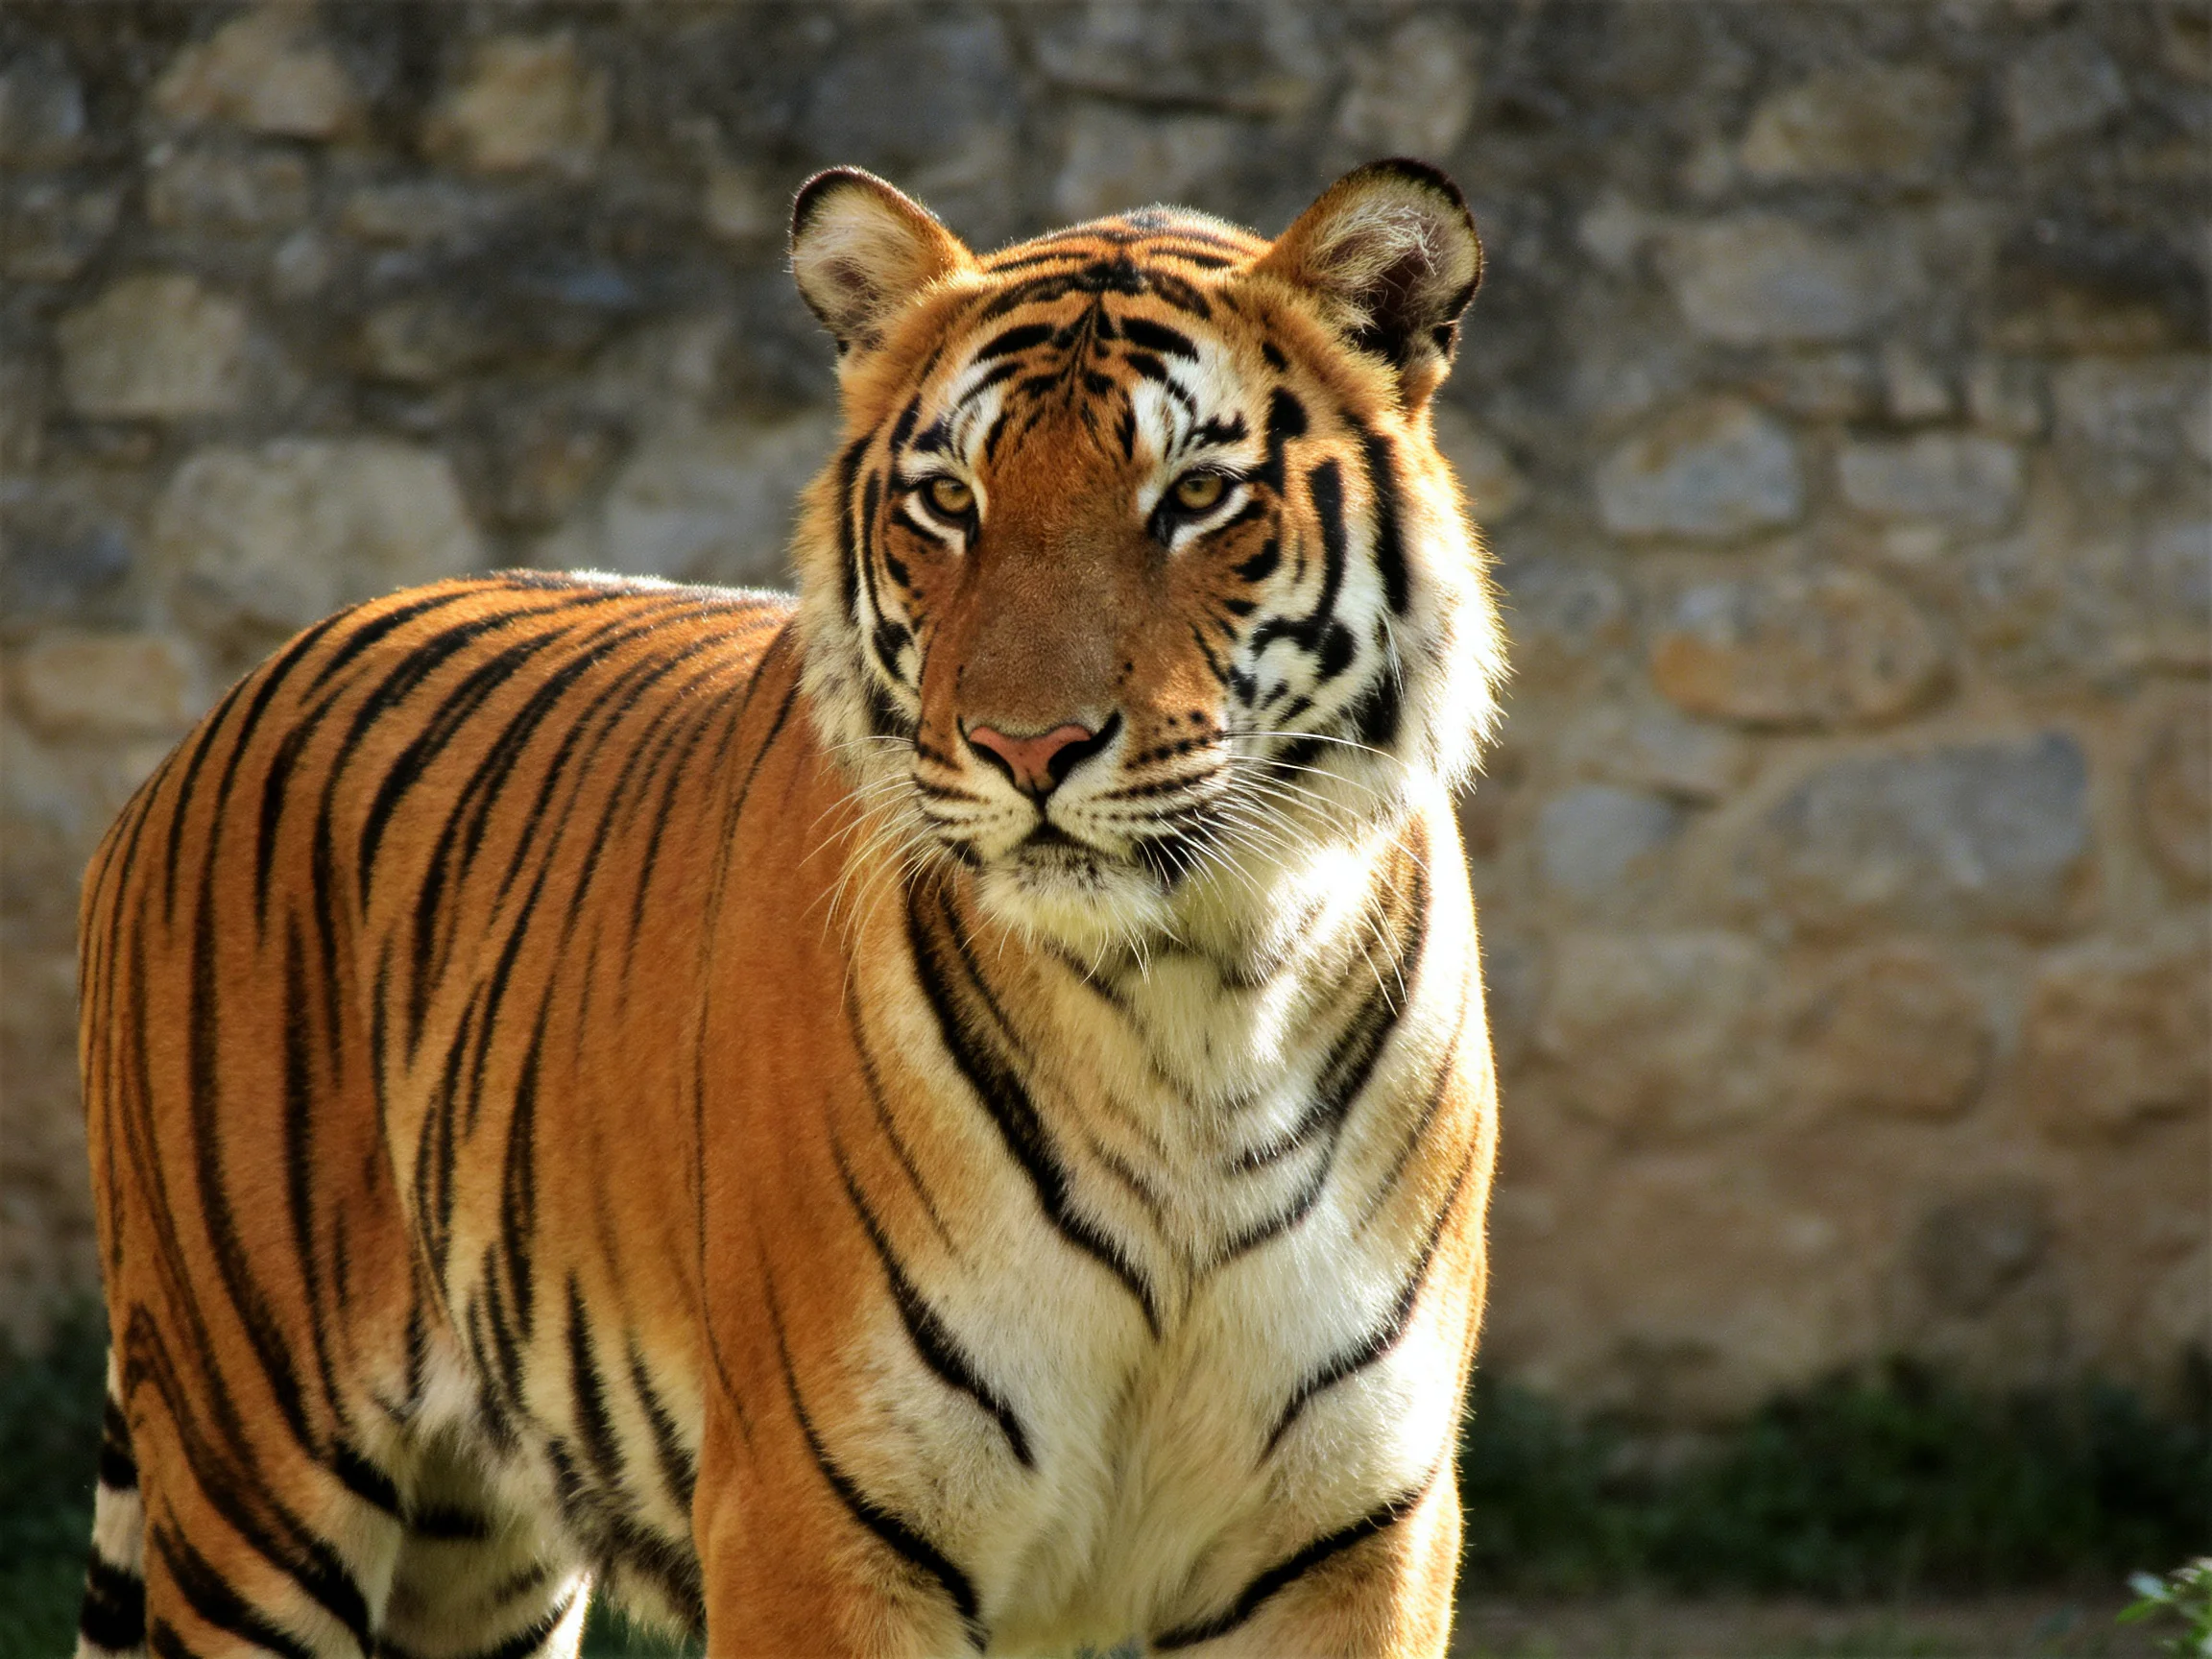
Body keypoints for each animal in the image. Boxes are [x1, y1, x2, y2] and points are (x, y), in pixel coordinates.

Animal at [72, 157, 1506, 1659]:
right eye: (949, 500)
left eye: (1199, 494)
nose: (1029, 748)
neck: (1191, 1011)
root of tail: (226, 707)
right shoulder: (822, 1520)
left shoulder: (1358, 1535)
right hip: (254, 1473)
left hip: (476, 1559)